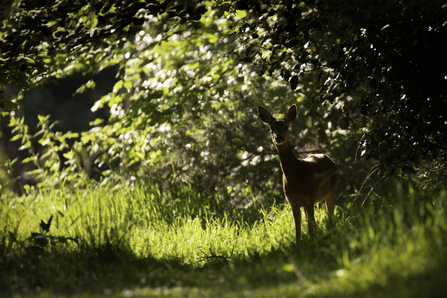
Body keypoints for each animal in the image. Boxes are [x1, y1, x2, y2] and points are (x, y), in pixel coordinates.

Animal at [260, 105, 338, 242]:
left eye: (286, 127)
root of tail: (329, 158)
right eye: (271, 128)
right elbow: (298, 231)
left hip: (331, 190)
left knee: (329, 214)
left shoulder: (310, 198)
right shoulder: (293, 202)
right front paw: (299, 244)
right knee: (314, 222)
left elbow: (309, 227)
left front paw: (313, 243)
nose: (278, 138)